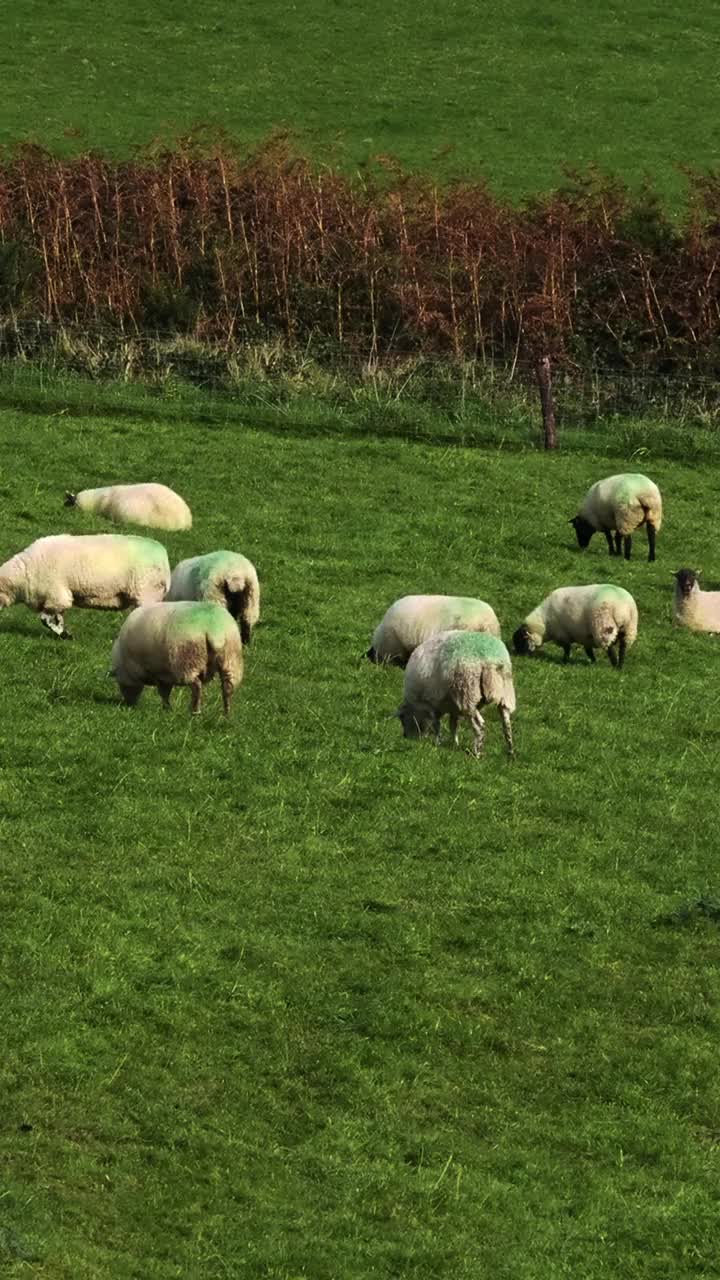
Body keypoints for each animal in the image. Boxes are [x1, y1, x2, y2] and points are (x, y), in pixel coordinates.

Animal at [0, 532, 170, 637]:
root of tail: (163, 558)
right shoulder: (57, 600)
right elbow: (58, 617)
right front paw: (64, 633)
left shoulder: (57, 595)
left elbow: (45, 619)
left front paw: (63, 634)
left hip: (147, 592)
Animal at [110, 596, 242, 716]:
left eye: (120, 684)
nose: (128, 704)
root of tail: (215, 631)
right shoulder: (165, 675)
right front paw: (167, 709)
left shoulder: (159, 674)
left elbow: (163, 693)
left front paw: (166, 708)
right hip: (231, 658)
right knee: (228, 687)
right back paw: (226, 714)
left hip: (188, 660)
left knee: (196, 685)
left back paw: (195, 711)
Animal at [507, 583, 635, 670]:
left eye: (521, 641)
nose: (518, 656)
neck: (544, 624)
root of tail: (623, 608)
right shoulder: (586, 637)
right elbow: (588, 650)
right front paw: (593, 662)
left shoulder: (562, 635)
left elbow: (567, 649)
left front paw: (564, 661)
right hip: (629, 629)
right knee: (623, 648)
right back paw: (620, 666)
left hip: (603, 626)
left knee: (610, 648)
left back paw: (614, 665)